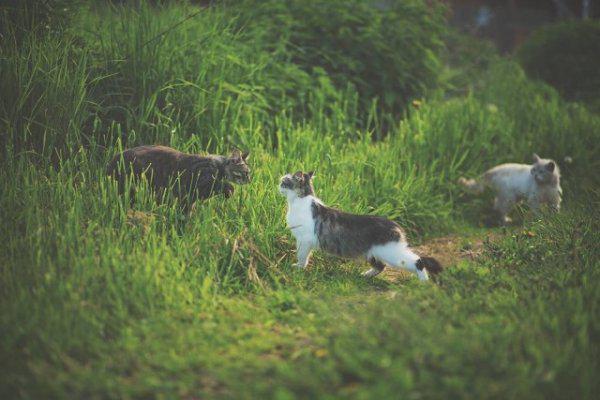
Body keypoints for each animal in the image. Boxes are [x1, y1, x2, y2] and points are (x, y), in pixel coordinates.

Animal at [106, 146, 250, 209]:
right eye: (247, 173)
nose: (250, 180)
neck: (218, 165)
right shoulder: (200, 183)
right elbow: (224, 185)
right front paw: (229, 191)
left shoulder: (190, 197)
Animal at [278, 170, 442, 280]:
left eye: (284, 182)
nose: (278, 184)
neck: (300, 200)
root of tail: (396, 225)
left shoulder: (304, 240)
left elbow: (301, 256)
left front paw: (299, 267)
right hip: (373, 254)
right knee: (381, 266)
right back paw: (365, 275)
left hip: (392, 254)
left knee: (417, 261)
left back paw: (423, 281)